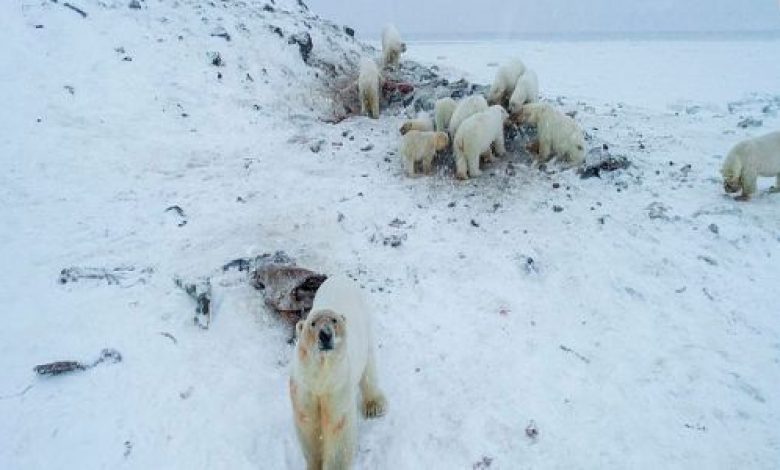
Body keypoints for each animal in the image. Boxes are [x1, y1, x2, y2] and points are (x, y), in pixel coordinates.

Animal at [290, 276, 386, 470]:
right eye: (312, 323)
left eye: (334, 320)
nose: (325, 334)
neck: (320, 375)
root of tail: (340, 277)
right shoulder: (304, 387)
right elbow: (308, 423)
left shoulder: (338, 386)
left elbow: (338, 427)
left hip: (365, 324)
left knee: (369, 366)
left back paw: (374, 406)